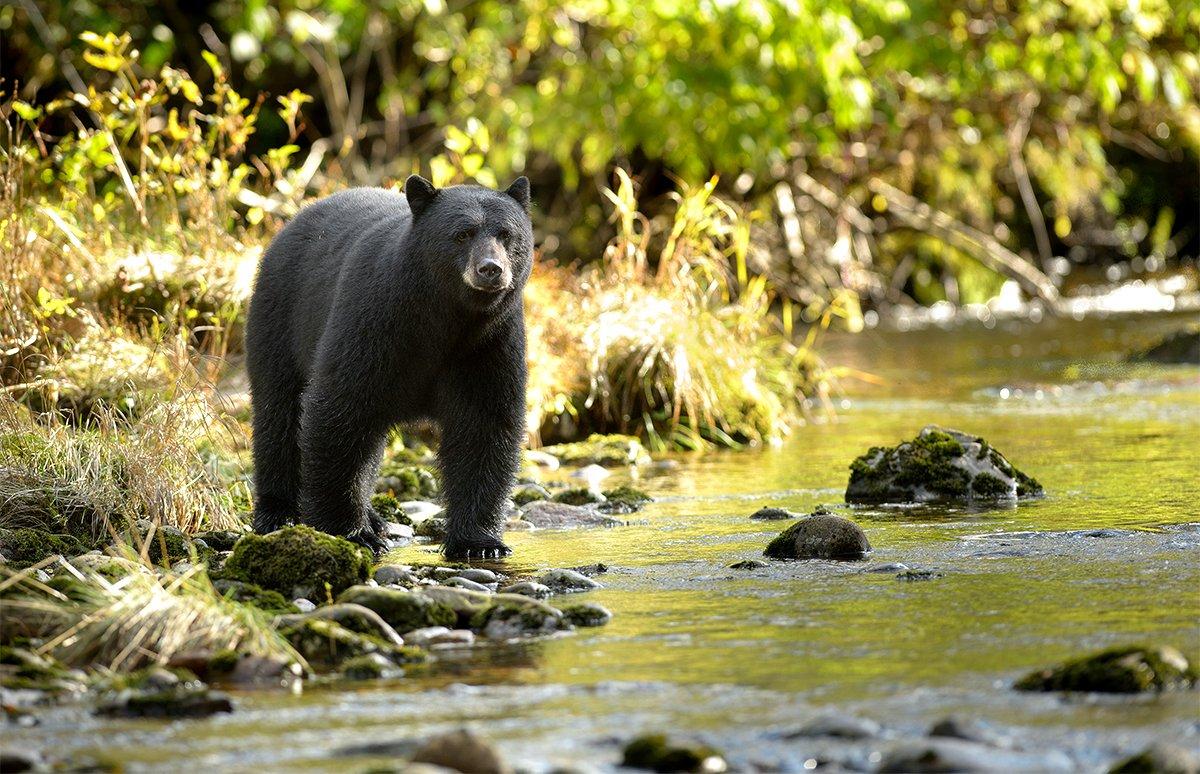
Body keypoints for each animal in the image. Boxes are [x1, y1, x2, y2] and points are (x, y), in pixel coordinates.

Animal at [246, 174, 532, 554]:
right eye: (462, 234)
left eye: (506, 234)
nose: (490, 269)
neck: (446, 318)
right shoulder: (375, 322)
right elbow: (339, 409)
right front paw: (350, 531)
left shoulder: (488, 343)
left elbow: (484, 424)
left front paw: (479, 541)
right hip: (280, 318)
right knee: (278, 412)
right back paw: (279, 512)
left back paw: (374, 518)